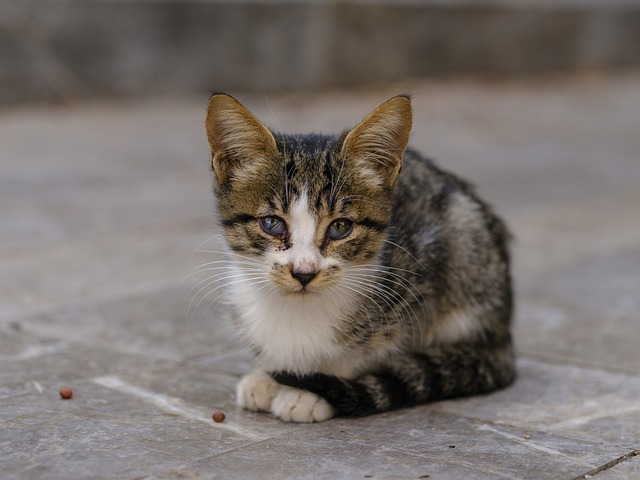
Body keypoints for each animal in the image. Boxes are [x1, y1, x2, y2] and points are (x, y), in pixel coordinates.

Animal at [205, 92, 516, 422]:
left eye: (341, 227)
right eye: (272, 223)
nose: (304, 272)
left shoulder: (420, 272)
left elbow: (372, 348)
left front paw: (308, 391)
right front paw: (267, 373)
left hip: (466, 243)